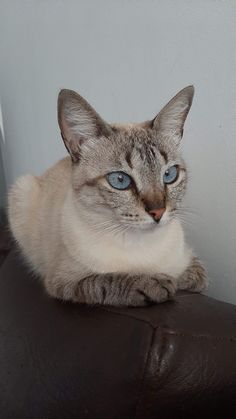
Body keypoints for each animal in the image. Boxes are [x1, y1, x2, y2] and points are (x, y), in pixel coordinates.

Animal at [7, 86, 206, 308]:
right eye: (120, 180)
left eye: (169, 175)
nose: (158, 212)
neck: (141, 244)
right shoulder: (63, 282)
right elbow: (106, 281)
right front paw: (154, 283)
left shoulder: (191, 262)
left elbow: (196, 277)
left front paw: (181, 280)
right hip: (21, 188)